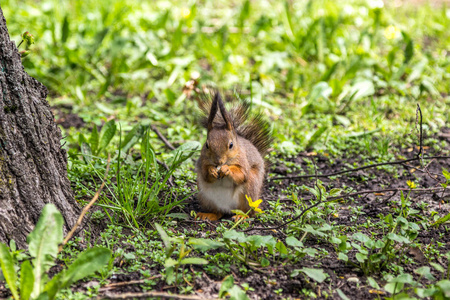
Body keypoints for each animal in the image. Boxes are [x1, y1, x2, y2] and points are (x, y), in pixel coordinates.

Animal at [194, 91, 270, 220]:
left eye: (231, 145)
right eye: (207, 145)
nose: (218, 162)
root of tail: (228, 209)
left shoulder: (243, 161)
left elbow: (242, 174)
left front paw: (227, 169)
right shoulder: (203, 161)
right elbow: (205, 173)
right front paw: (212, 171)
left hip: (249, 192)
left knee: (248, 212)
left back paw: (241, 217)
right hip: (206, 197)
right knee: (218, 213)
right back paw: (208, 215)